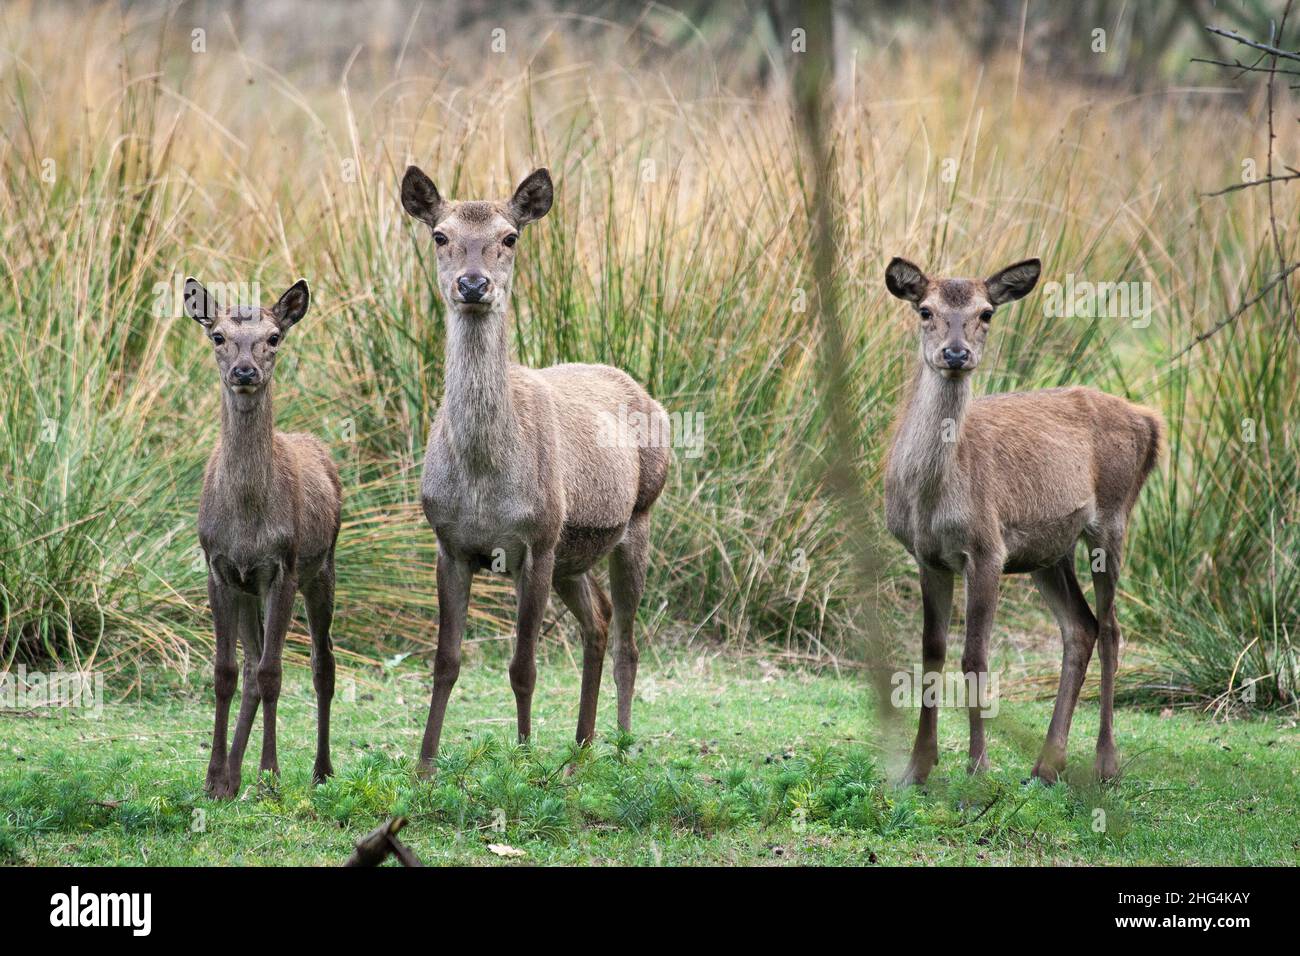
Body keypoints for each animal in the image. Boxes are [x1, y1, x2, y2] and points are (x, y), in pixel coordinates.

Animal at [187, 277, 345, 801]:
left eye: (274, 337)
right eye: (217, 335)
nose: (244, 370)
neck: (248, 520)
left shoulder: (283, 568)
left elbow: (275, 673)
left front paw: (270, 777)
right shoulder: (219, 569)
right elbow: (227, 673)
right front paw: (214, 779)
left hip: (323, 567)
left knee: (322, 665)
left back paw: (321, 770)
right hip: (249, 588)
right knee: (253, 668)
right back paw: (233, 777)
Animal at [400, 166, 670, 780]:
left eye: (510, 237)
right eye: (440, 236)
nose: (473, 284)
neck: (484, 479)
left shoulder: (536, 543)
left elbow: (523, 665)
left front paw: (522, 759)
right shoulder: (449, 544)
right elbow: (445, 661)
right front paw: (424, 767)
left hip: (636, 518)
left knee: (628, 639)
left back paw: (620, 745)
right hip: (575, 552)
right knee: (598, 621)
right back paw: (581, 745)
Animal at [878, 256, 1164, 785]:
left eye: (986, 312)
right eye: (925, 310)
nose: (956, 353)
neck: (930, 496)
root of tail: (1151, 421)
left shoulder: (987, 548)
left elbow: (974, 655)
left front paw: (977, 765)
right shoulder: (927, 556)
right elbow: (932, 652)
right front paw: (917, 768)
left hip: (1112, 519)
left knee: (1111, 629)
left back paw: (1105, 762)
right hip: (1047, 552)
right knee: (1081, 628)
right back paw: (1048, 763)